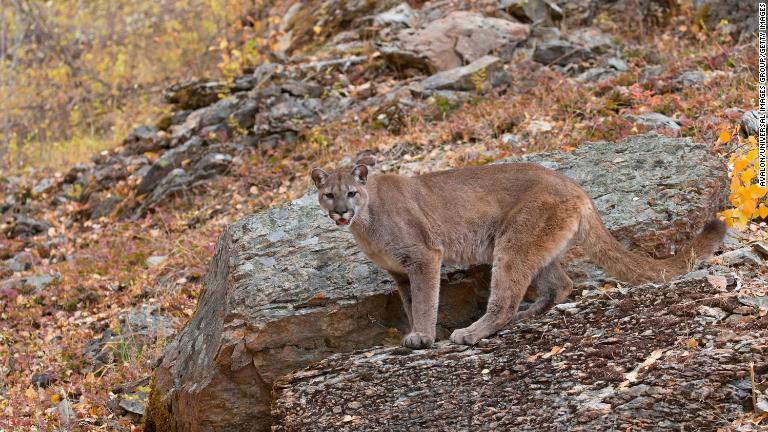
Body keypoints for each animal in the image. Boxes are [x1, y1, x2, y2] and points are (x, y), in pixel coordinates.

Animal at [308, 160, 724, 350]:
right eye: (329, 194)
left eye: (351, 193)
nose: (341, 212)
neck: (366, 221)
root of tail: (574, 185)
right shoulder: (399, 273)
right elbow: (412, 304)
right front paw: (415, 332)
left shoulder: (424, 257)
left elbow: (426, 301)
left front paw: (423, 337)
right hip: (531, 245)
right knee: (561, 283)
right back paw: (529, 314)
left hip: (511, 243)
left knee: (505, 299)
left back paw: (472, 332)